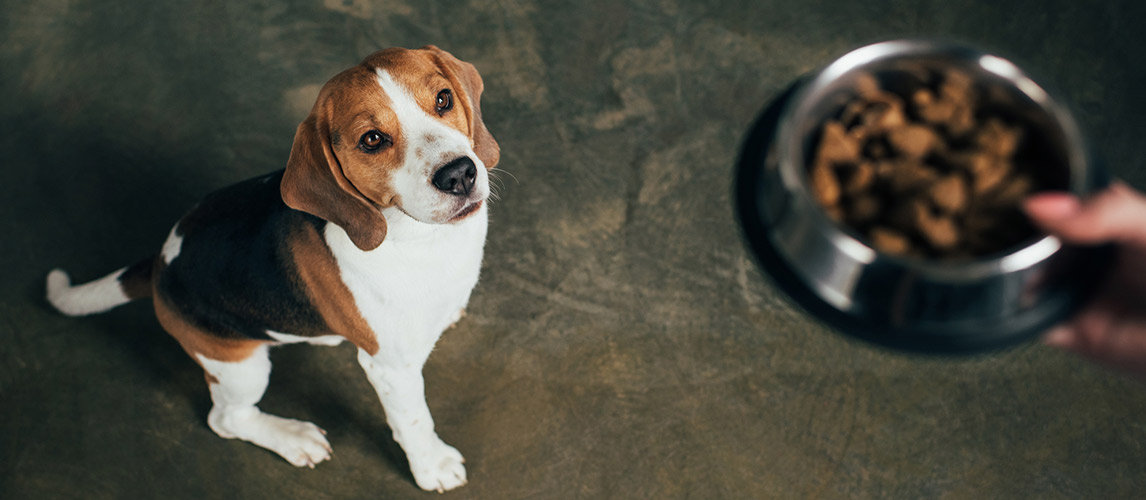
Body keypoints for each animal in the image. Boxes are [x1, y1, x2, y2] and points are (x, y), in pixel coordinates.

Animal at [43, 45, 497, 493]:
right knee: (226, 419)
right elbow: (414, 421)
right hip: (241, 367)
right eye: (372, 140)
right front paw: (432, 467)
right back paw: (292, 437)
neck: (421, 239)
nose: (458, 174)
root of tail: (160, 263)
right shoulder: (391, 369)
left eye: (443, 99)